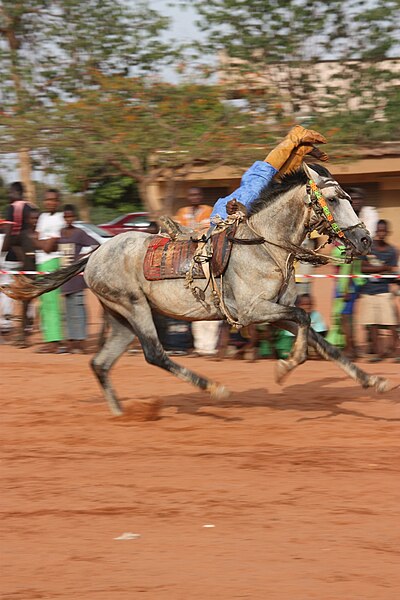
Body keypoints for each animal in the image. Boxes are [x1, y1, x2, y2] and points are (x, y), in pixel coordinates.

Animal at [4, 164, 396, 418]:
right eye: (335, 200)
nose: (365, 240)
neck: (264, 246)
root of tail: (95, 252)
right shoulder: (252, 311)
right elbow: (303, 320)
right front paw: (287, 365)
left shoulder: (275, 312)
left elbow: (320, 339)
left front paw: (374, 381)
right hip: (134, 308)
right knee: (155, 354)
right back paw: (214, 389)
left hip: (120, 319)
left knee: (100, 363)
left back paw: (120, 414)